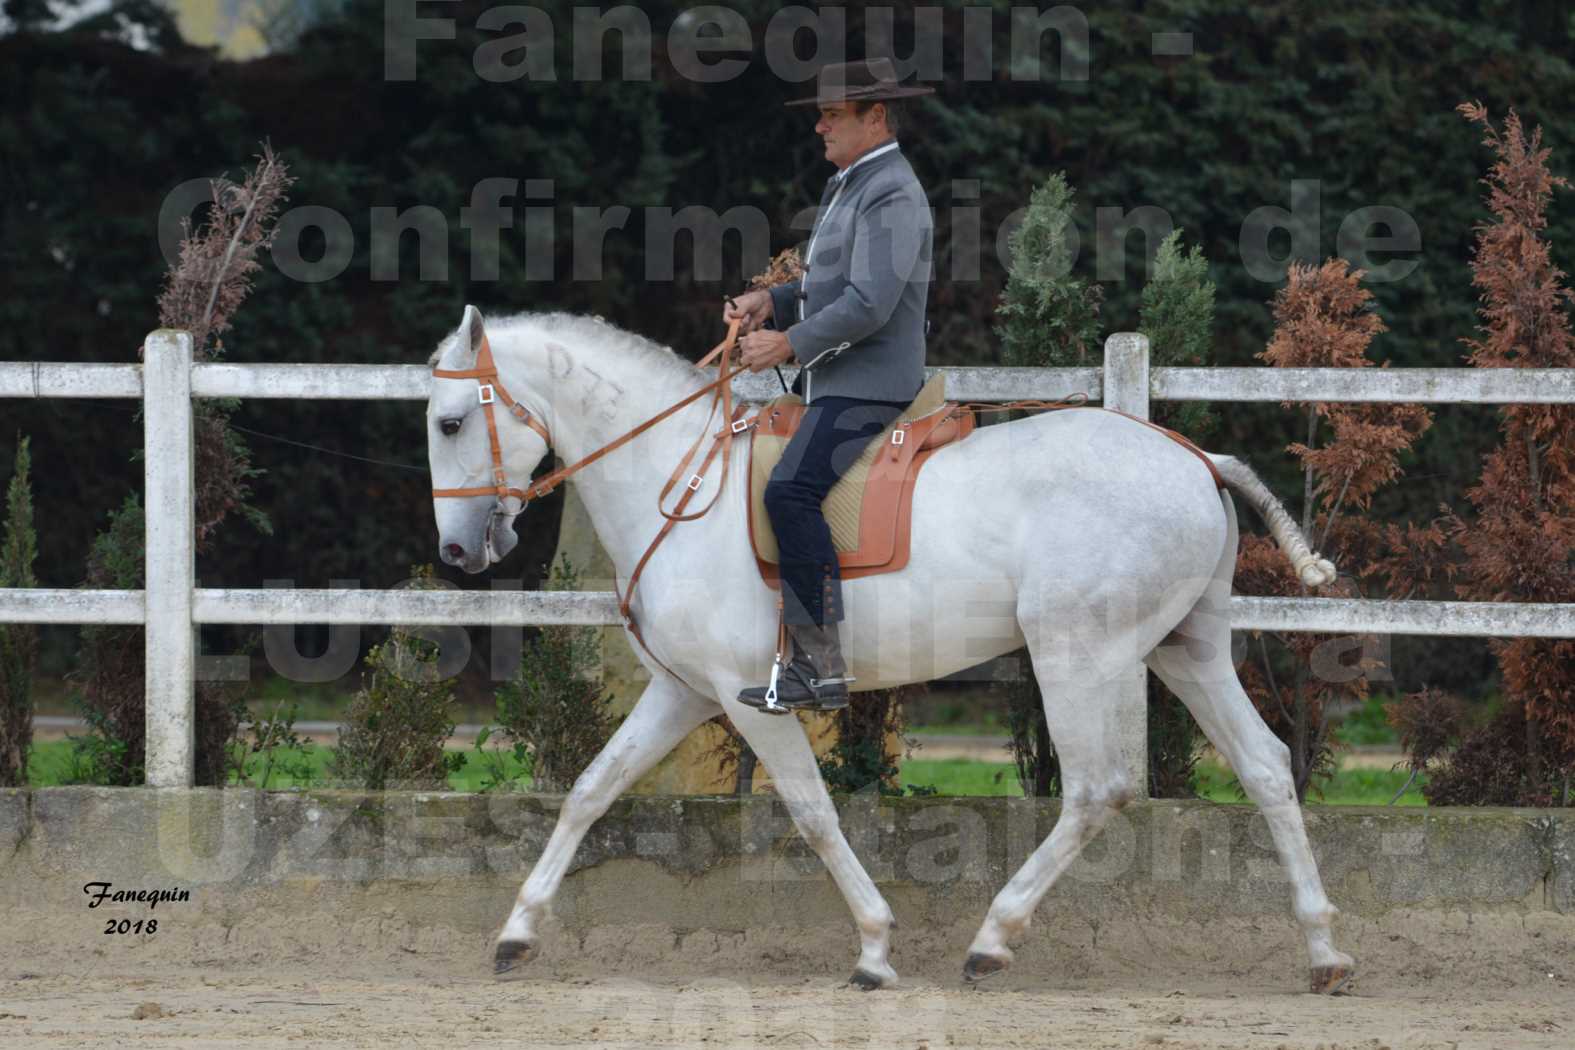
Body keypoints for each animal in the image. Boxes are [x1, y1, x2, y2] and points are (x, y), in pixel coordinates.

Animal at [425, 303, 1360, 994]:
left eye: (448, 422)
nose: (461, 552)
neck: (680, 483)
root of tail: (1193, 457)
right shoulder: (682, 692)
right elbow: (590, 790)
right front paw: (516, 932)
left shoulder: (748, 699)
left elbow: (811, 812)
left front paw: (874, 949)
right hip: (1184, 648)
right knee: (1266, 768)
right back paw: (1321, 950)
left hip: (1076, 655)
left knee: (1097, 788)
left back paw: (992, 939)